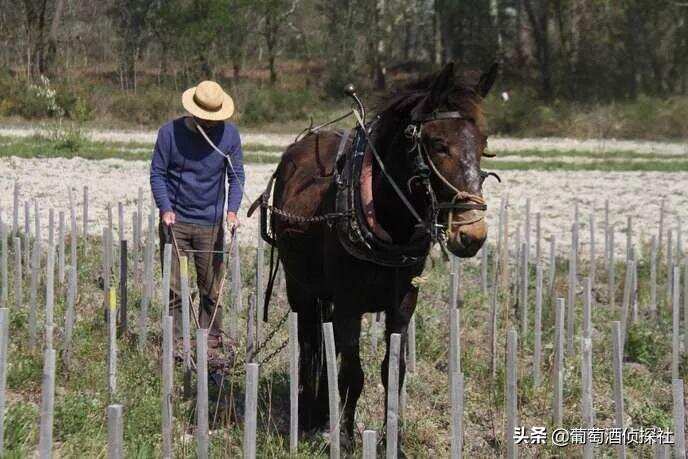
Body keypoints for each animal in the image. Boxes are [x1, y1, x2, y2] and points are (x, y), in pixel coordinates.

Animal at [250, 62, 498, 452]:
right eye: (438, 144)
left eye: (483, 143)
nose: (472, 234)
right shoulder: (349, 304)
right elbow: (353, 373)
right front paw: (347, 437)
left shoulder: (403, 304)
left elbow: (391, 371)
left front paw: (391, 440)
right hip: (299, 286)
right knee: (309, 342)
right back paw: (309, 411)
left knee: (324, 344)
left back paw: (323, 410)